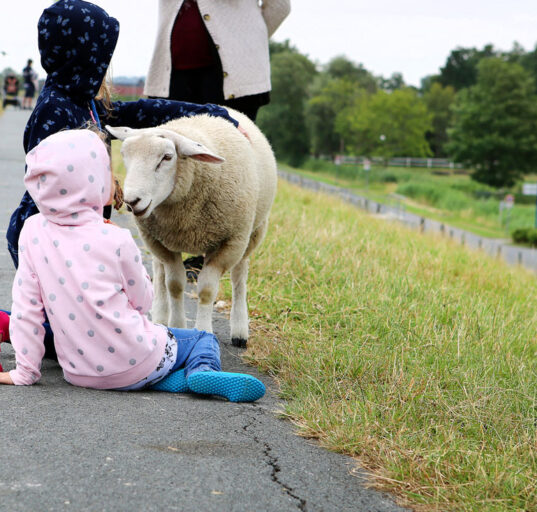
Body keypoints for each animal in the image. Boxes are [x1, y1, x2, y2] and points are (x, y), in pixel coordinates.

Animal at [107, 108, 278, 348]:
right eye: (124, 154)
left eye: (167, 157)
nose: (132, 201)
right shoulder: (159, 241)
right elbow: (174, 284)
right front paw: (177, 325)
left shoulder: (231, 242)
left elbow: (206, 290)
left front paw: (204, 330)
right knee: (159, 272)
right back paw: (160, 315)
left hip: (253, 233)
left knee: (239, 278)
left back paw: (239, 330)